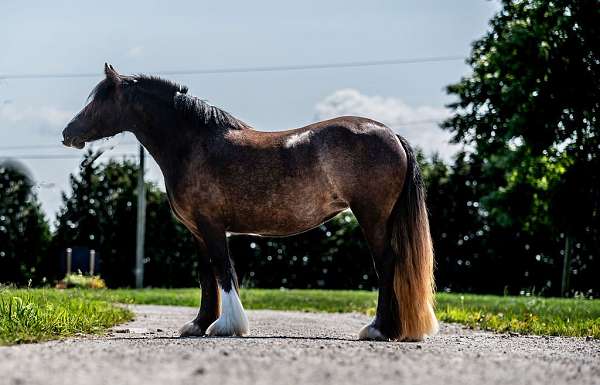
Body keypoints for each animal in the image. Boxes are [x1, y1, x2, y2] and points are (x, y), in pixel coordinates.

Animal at [62, 63, 436, 342]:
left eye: (99, 100)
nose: (67, 133)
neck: (194, 143)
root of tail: (391, 134)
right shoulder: (198, 230)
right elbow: (207, 275)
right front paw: (198, 324)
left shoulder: (212, 226)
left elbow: (223, 271)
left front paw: (227, 325)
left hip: (372, 216)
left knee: (387, 264)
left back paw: (378, 329)